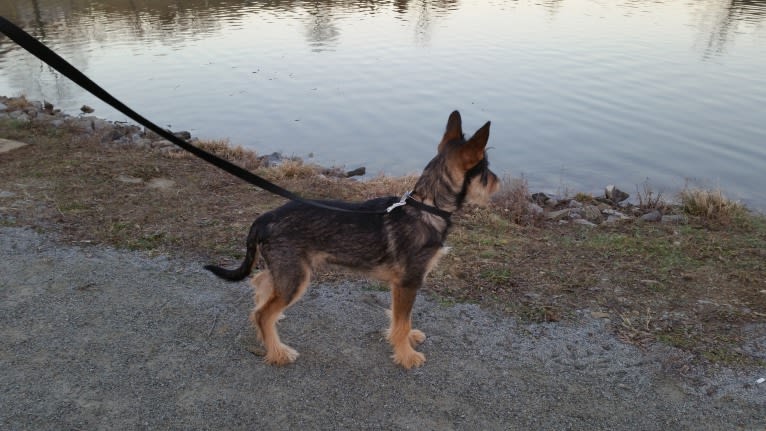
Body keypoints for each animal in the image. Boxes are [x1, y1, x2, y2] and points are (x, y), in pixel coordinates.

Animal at [207, 110, 500, 368]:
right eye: (485, 170)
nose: (498, 184)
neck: (426, 207)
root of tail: (264, 219)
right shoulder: (408, 282)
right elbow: (402, 321)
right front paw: (406, 355)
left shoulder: (401, 285)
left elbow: (400, 318)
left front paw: (407, 338)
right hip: (295, 276)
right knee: (262, 313)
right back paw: (278, 352)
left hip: (286, 270)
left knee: (260, 284)